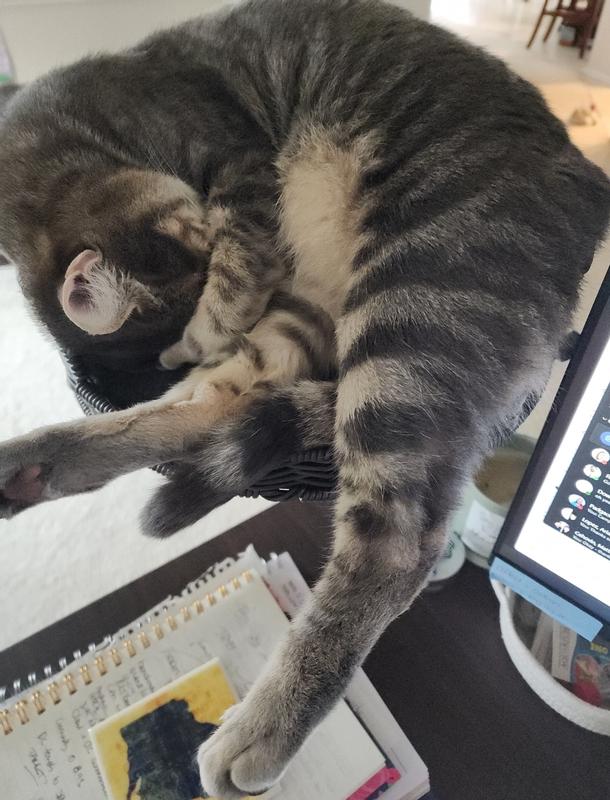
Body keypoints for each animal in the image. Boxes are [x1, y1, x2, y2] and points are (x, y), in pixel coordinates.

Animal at [0, 1, 609, 796]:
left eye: (198, 261)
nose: (251, 274)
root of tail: (588, 178)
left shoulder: (233, 163)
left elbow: (232, 267)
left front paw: (198, 329)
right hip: (339, 313)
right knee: (209, 409)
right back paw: (41, 461)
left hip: (415, 304)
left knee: (395, 542)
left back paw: (260, 729)